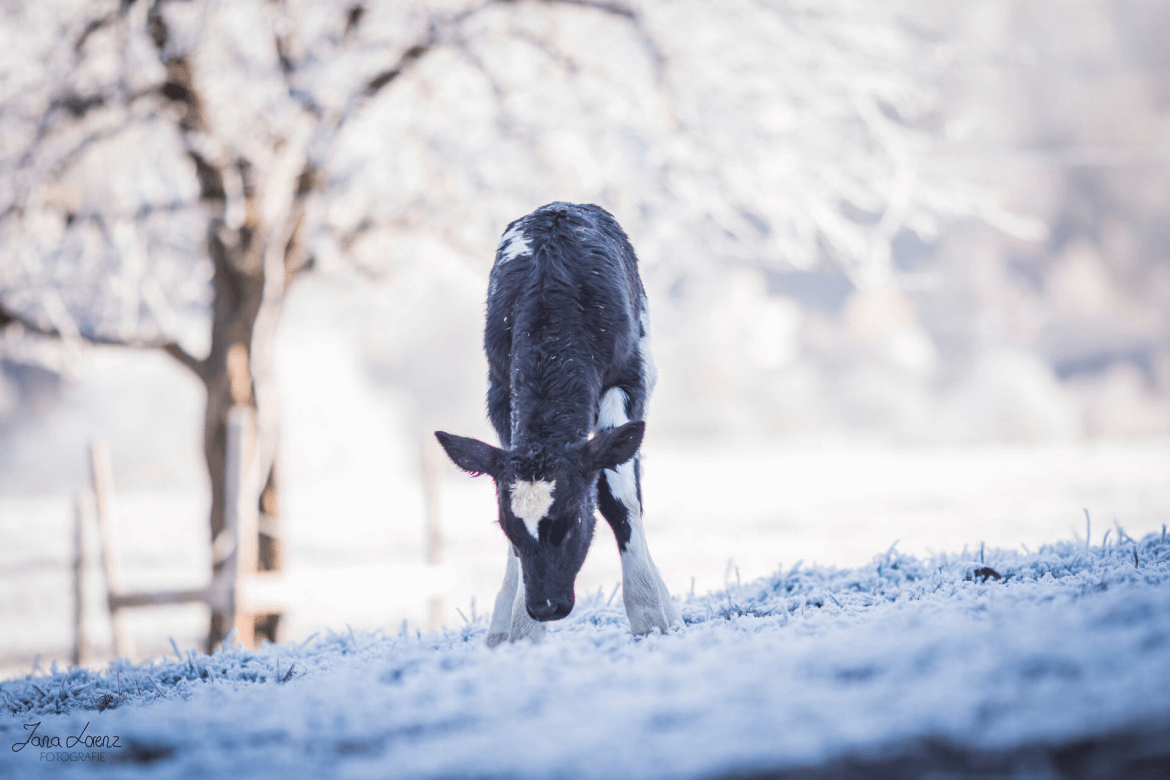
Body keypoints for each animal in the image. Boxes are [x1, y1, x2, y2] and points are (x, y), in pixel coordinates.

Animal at [435, 201, 683, 645]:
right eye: (509, 530)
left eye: (571, 522)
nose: (544, 607)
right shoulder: (500, 392)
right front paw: (519, 629)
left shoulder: (629, 379)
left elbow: (617, 497)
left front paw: (650, 617)